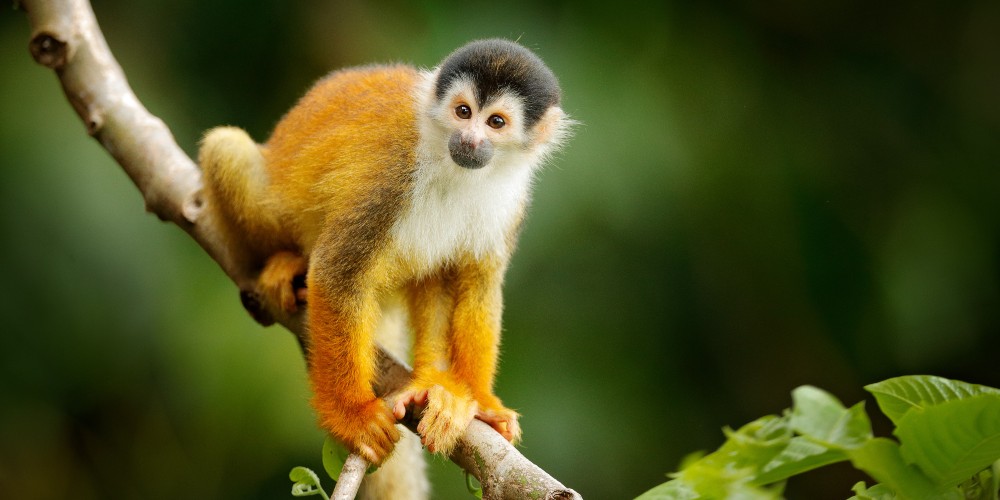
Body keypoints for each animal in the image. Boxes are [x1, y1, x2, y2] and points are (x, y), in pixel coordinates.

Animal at [197, 38, 570, 491]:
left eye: (496, 122)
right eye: (463, 111)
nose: (469, 138)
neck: (454, 167)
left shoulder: (511, 201)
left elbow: (477, 283)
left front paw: (477, 399)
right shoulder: (390, 175)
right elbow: (337, 273)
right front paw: (353, 417)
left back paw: (433, 382)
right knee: (227, 148)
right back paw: (283, 263)